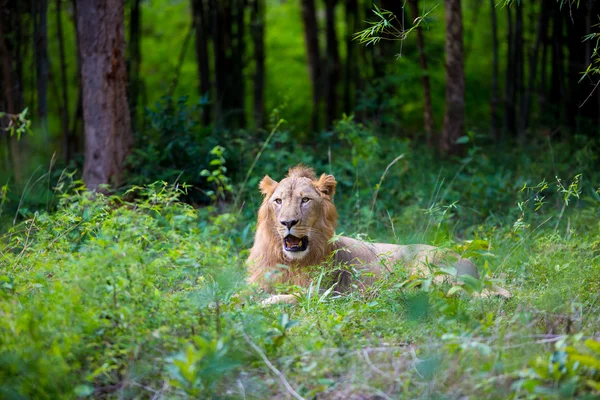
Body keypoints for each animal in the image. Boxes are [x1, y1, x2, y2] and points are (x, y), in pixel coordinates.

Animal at [246, 165, 504, 304]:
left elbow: (291, 297)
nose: (288, 222)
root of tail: (470, 262)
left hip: (431, 272)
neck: (289, 261)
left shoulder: (326, 292)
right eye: (278, 201)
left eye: (305, 200)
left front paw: (265, 303)